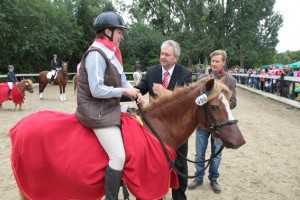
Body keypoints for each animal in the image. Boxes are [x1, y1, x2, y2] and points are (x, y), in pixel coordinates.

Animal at [9, 77, 245, 200]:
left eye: (230, 103)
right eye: (215, 107)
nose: (239, 141)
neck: (156, 130)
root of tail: (17, 128)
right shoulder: (148, 187)